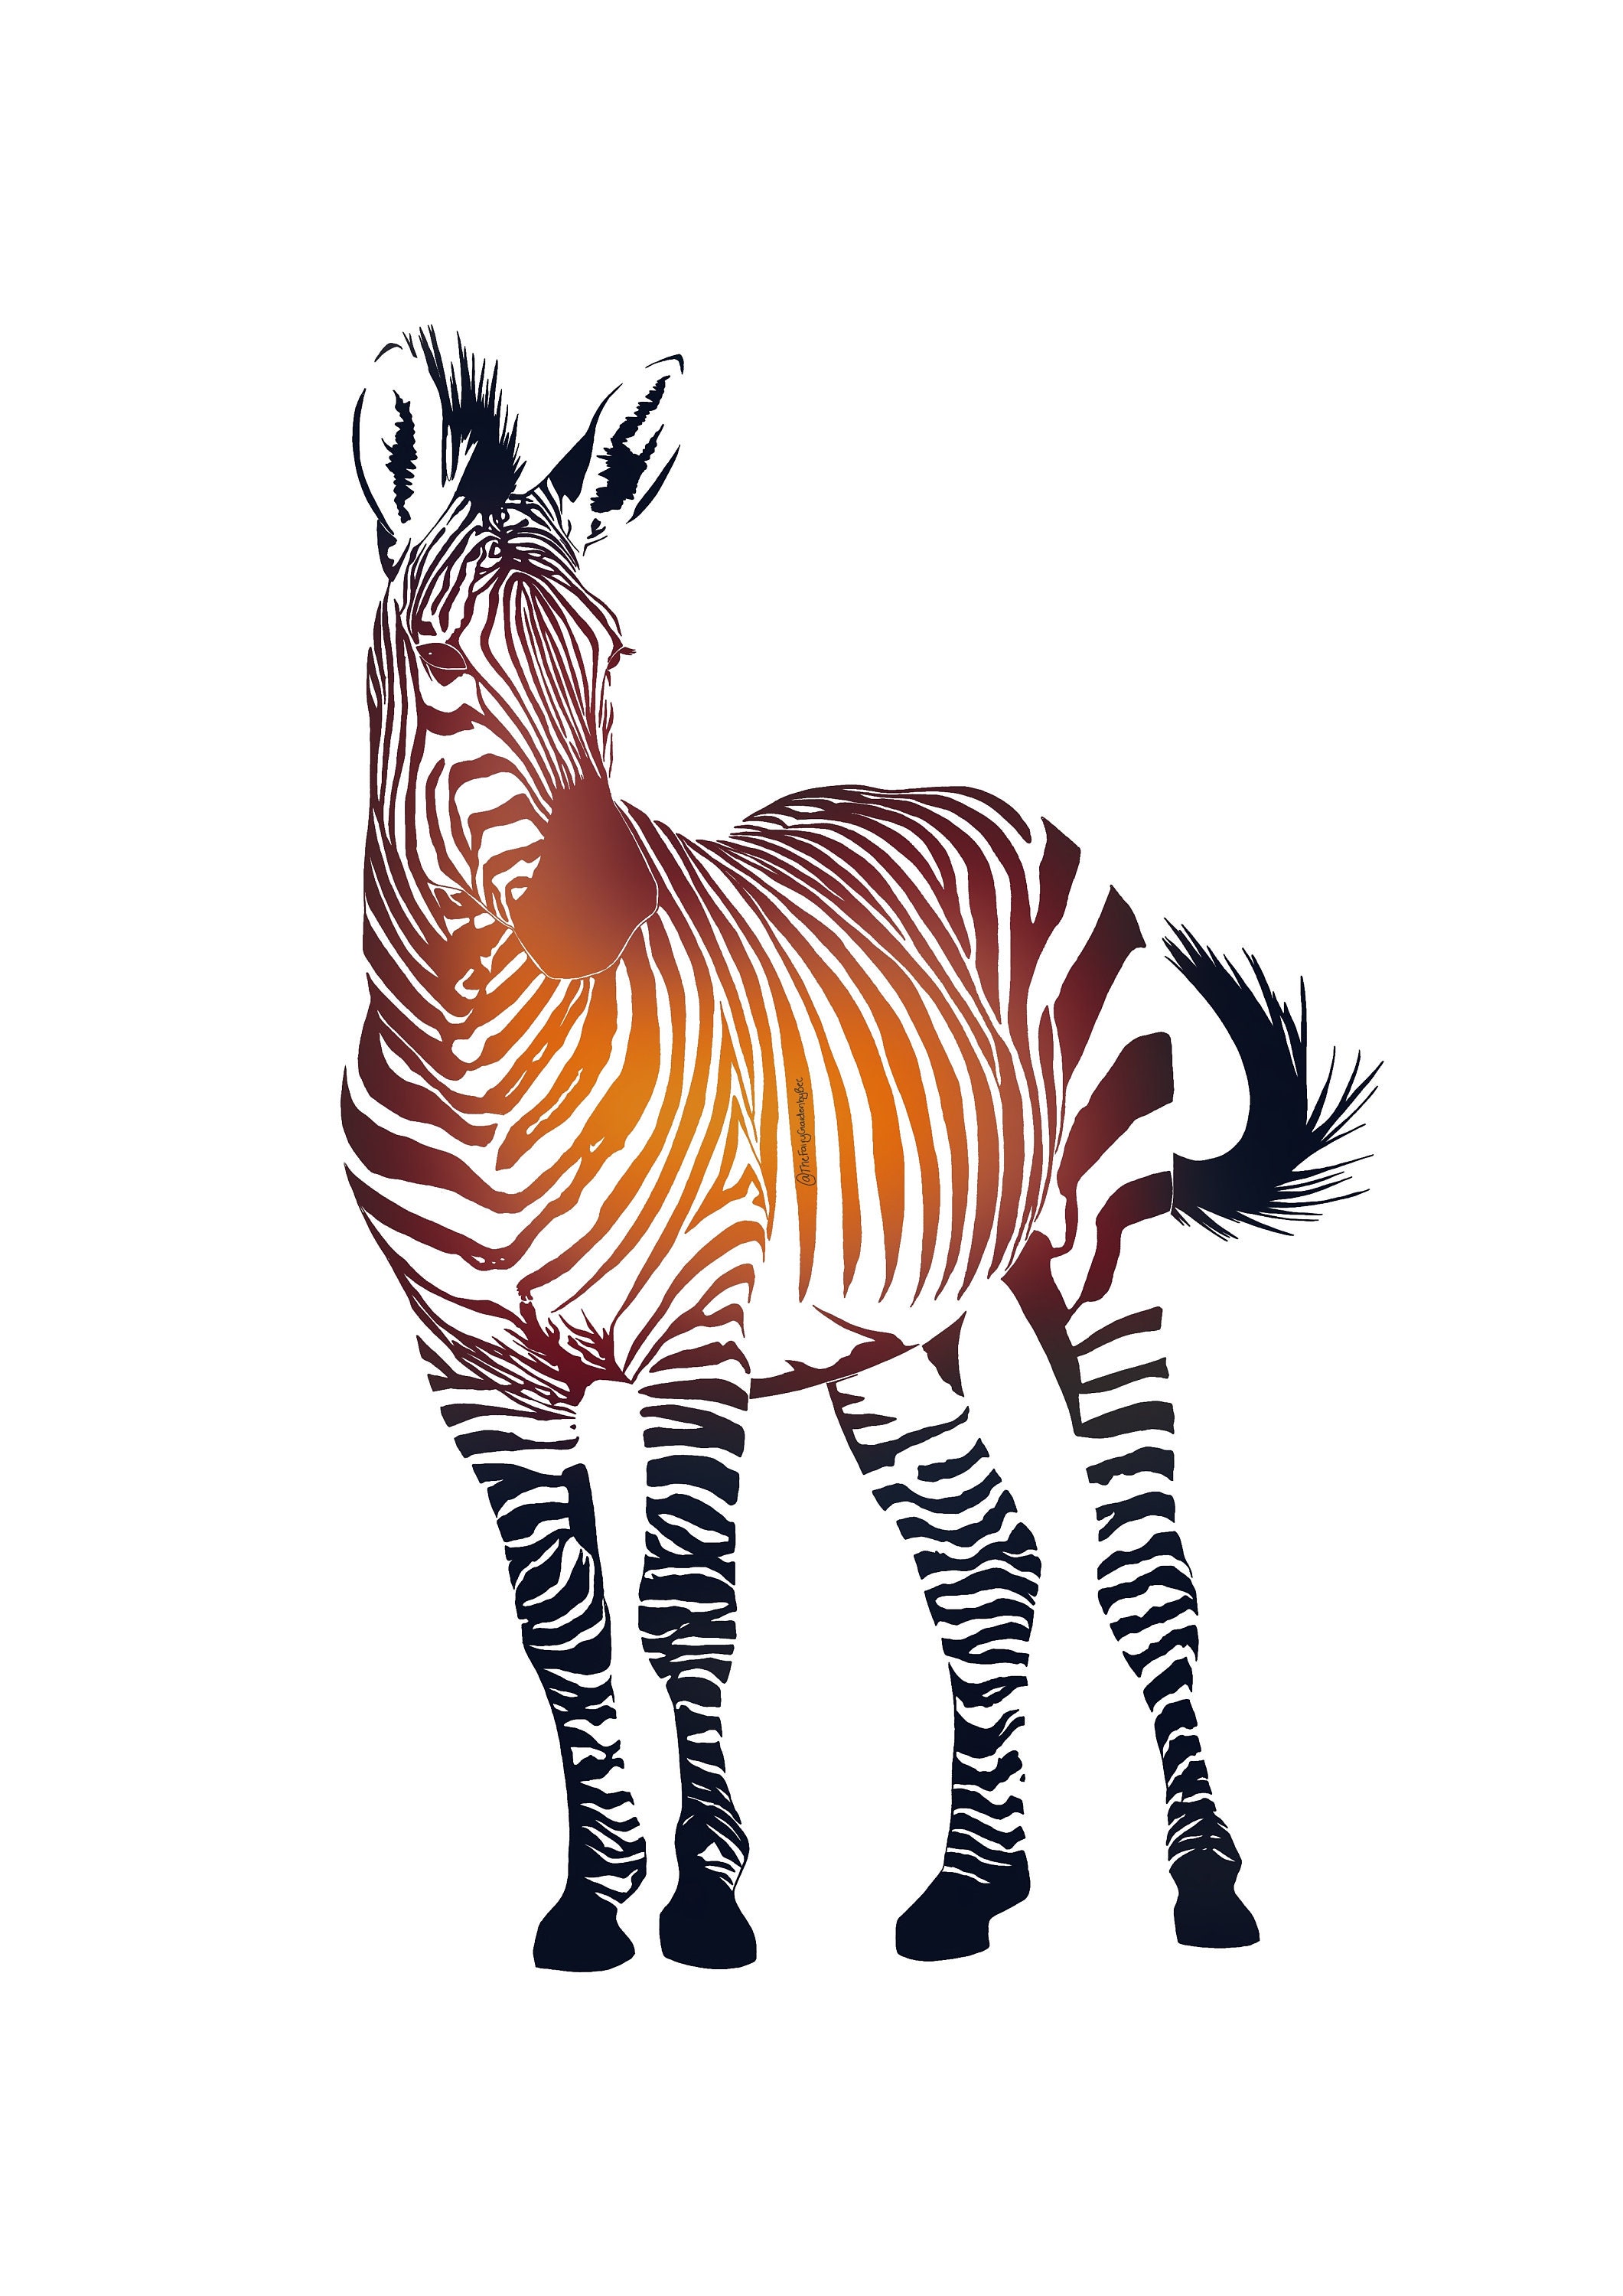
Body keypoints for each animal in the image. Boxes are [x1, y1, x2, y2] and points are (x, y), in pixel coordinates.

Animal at [345, 329, 1375, 1972]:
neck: (480, 1049)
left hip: (1101, 1251)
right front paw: (593, 1900)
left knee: (1143, 1567)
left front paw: (706, 1902)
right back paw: (969, 1887)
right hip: (882, 1334)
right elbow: (564, 1629)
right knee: (989, 1563)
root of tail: (969, 789)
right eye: (442, 662)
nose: (602, 909)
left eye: (613, 657)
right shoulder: (472, 1369)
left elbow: (685, 1606)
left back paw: (1206, 1884)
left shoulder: (691, 1332)